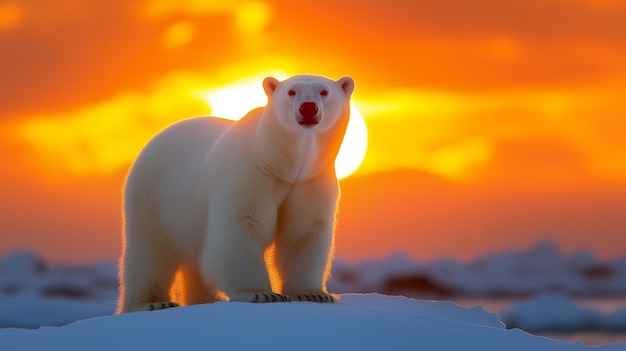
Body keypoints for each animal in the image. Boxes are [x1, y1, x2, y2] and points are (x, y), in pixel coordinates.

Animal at [116, 75, 352, 314]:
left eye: (324, 91)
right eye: (291, 92)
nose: (308, 108)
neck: (279, 162)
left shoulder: (310, 181)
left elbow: (303, 233)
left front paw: (312, 293)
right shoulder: (249, 173)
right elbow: (242, 226)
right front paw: (261, 293)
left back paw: (204, 299)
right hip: (153, 195)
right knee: (150, 251)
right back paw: (152, 302)